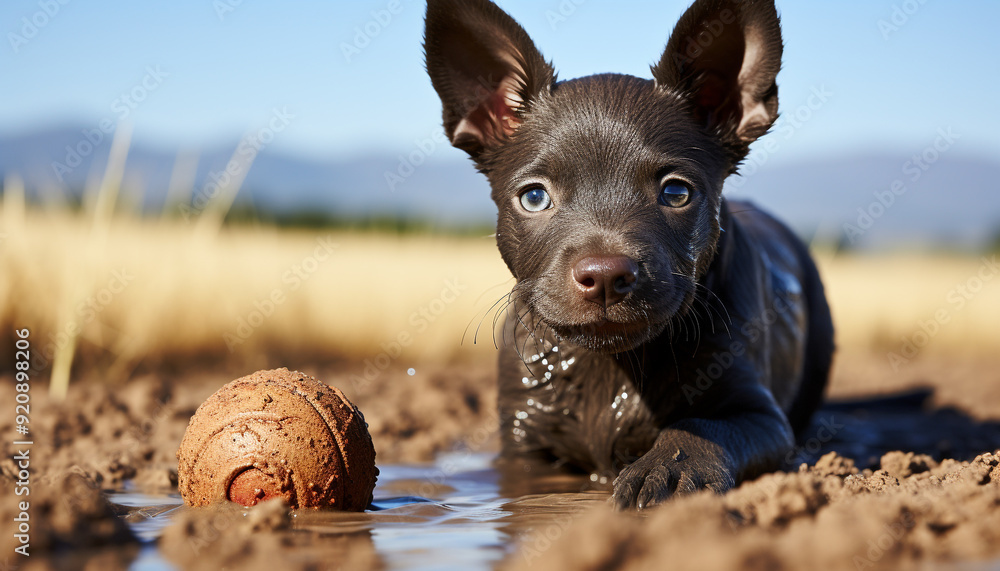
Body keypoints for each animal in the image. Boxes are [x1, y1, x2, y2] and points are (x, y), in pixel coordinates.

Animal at [424, 0, 836, 510]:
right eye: (534, 197)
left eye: (676, 193)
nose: (605, 275)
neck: (614, 366)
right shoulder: (523, 445)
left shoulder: (758, 413)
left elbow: (699, 425)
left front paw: (666, 471)